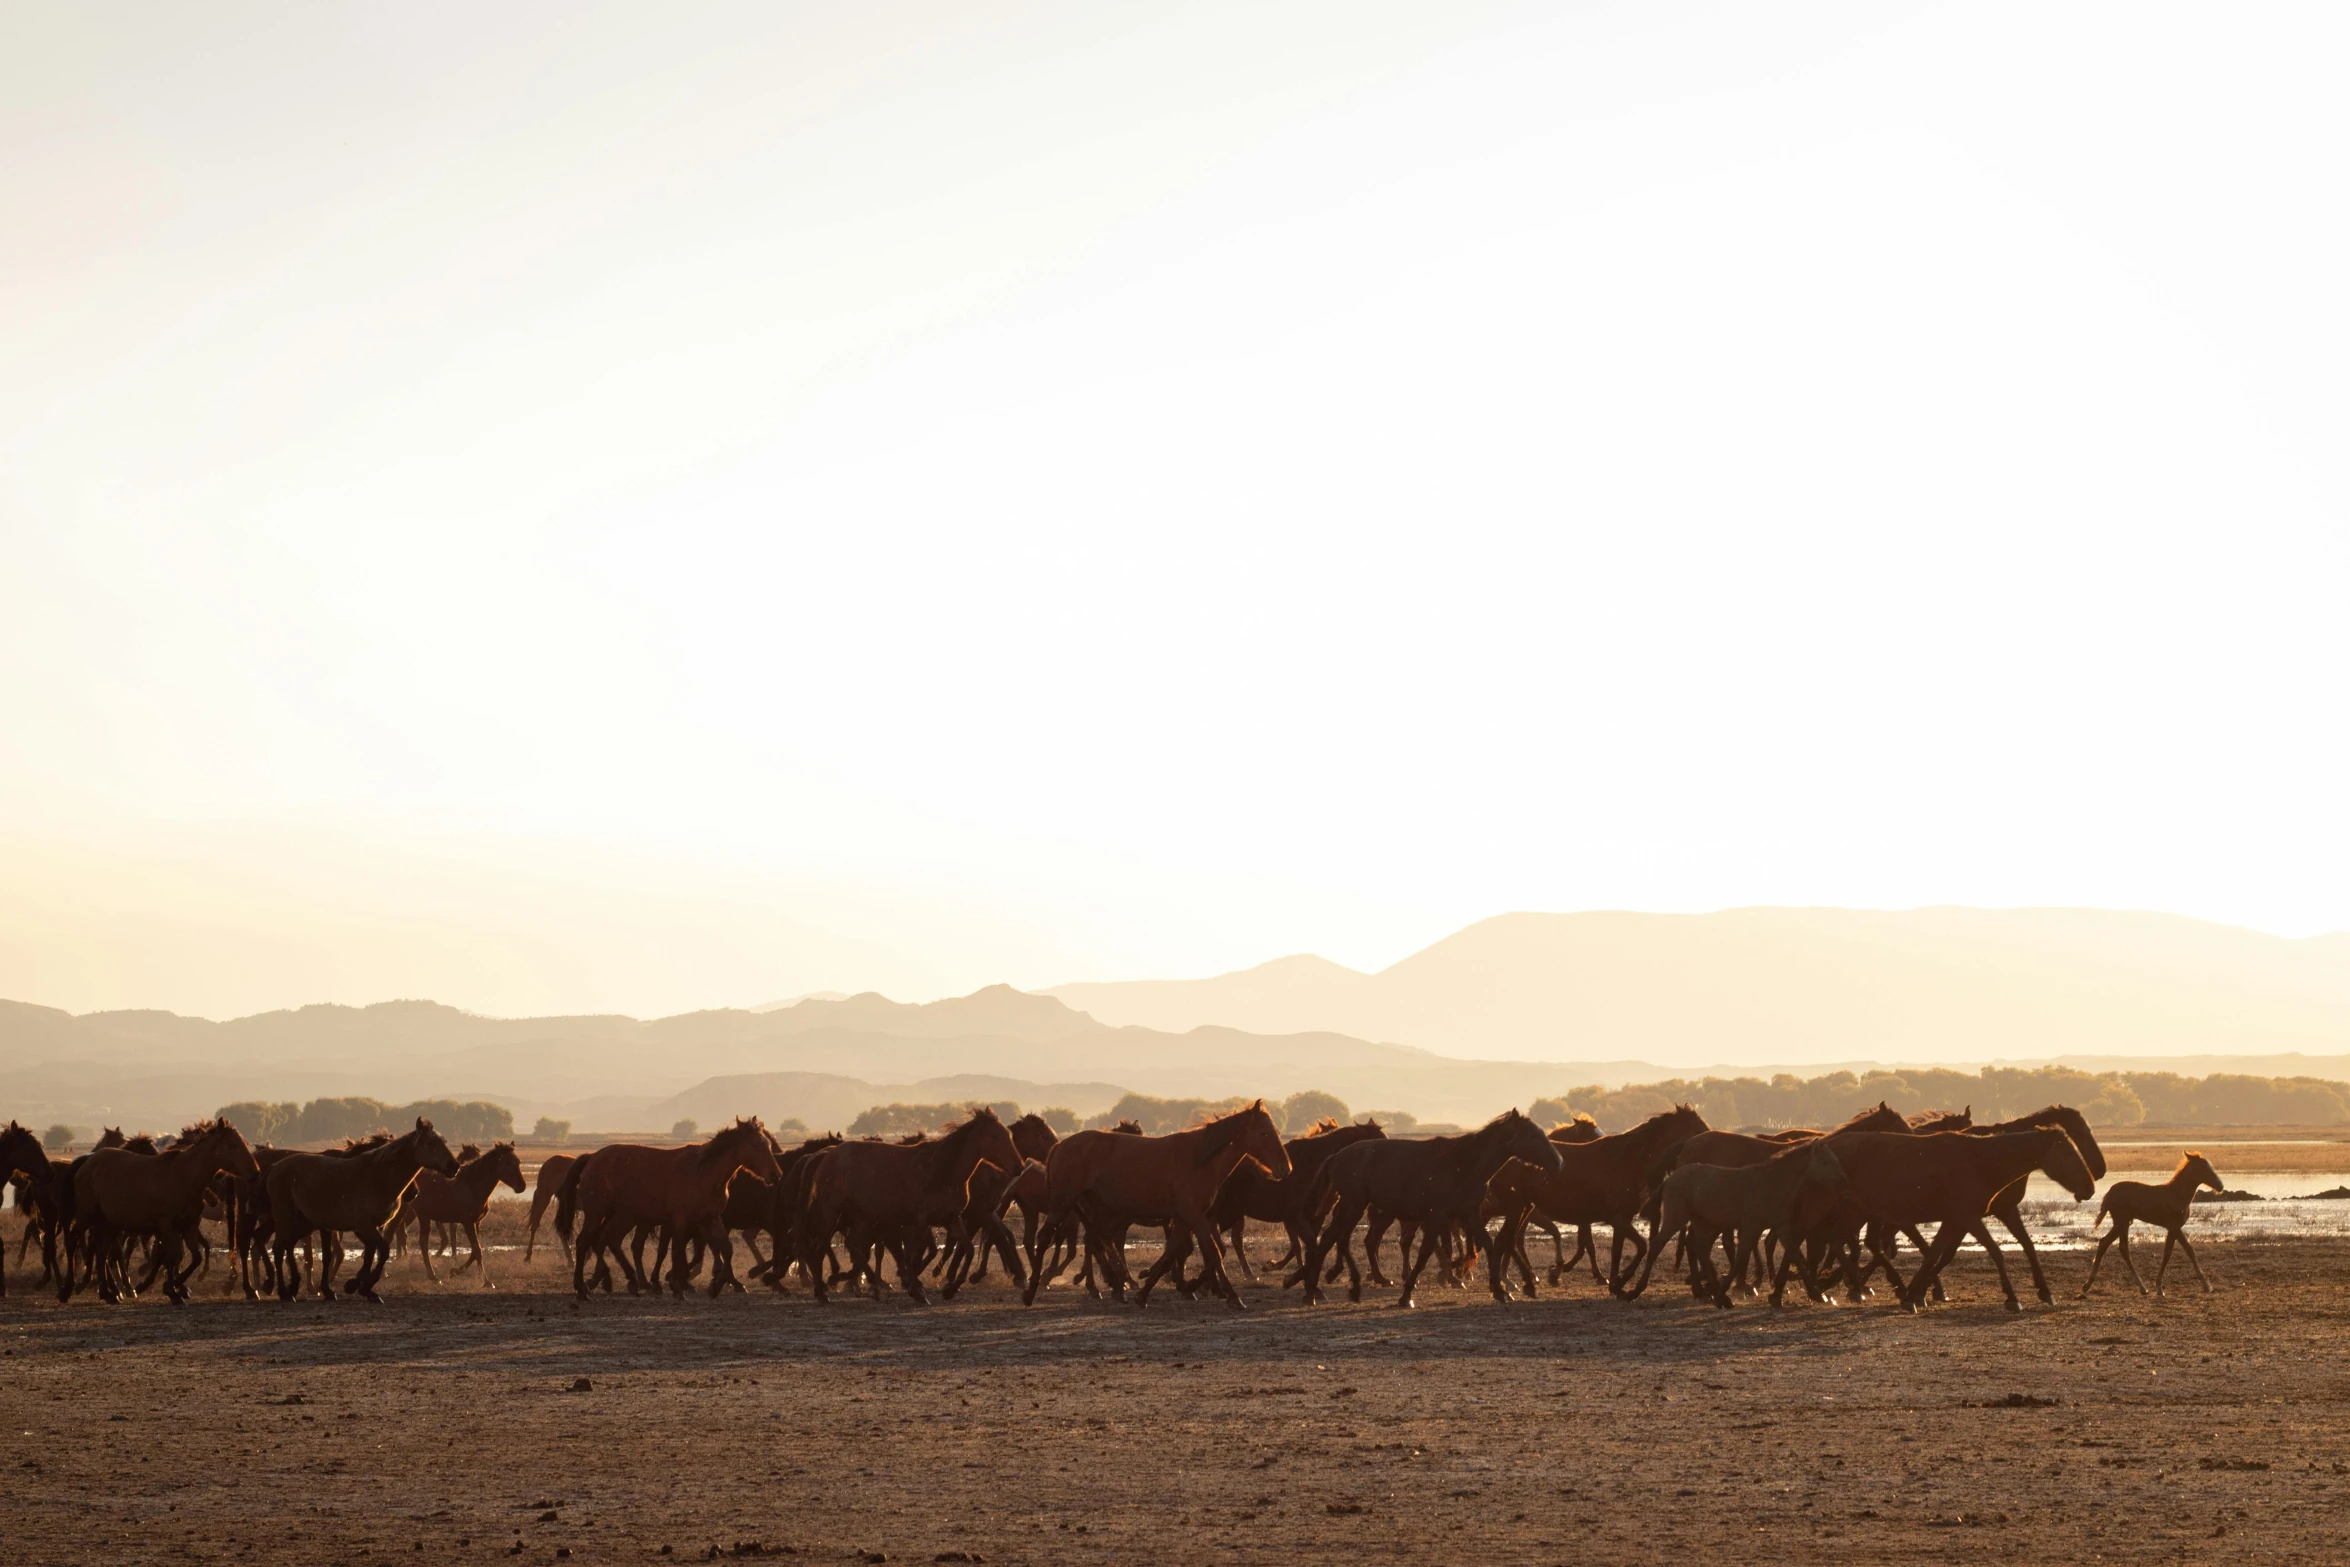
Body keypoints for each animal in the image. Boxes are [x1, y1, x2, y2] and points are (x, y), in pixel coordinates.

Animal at [269, 1122, 460, 1306]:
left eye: (444, 1142)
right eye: (430, 1143)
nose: (454, 1166)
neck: (378, 1178)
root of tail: (276, 1168)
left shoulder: (376, 1227)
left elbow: (370, 1254)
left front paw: (357, 1286)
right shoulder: (364, 1227)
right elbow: (382, 1251)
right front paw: (364, 1287)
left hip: (304, 1224)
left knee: (287, 1246)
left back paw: (293, 1287)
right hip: (287, 1219)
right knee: (279, 1248)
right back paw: (284, 1292)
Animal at [2077, 1151, 2218, 1296]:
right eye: (2204, 1168)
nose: (2220, 1186)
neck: (2177, 1194)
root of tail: (2108, 1195)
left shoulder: (2172, 1228)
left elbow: (2169, 1252)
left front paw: (2160, 1287)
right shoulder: (2175, 1226)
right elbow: (2187, 1250)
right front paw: (2206, 1285)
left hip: (2123, 1223)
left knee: (2112, 1245)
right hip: (2121, 1222)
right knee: (2114, 1245)